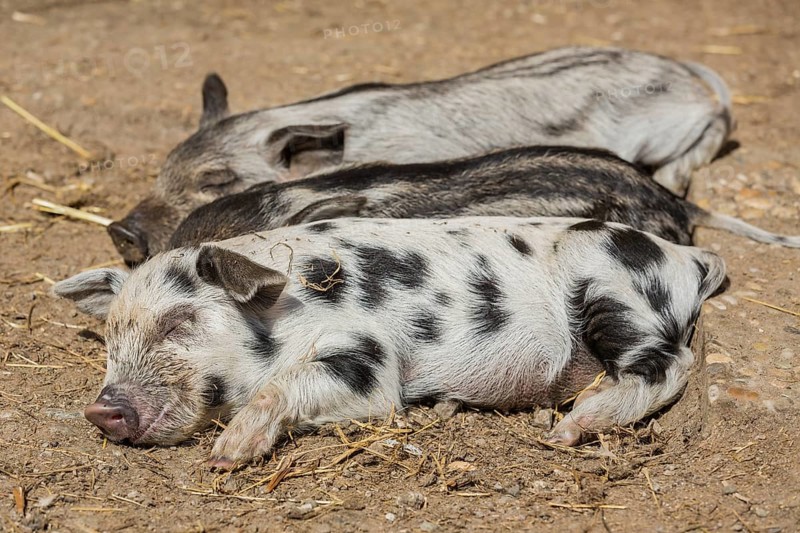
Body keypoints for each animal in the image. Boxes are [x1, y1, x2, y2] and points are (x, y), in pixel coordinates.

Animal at [54, 216, 726, 467]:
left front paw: (227, 453)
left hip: (617, 292)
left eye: (178, 322)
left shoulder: (367, 356)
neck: (285, 314)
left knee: (671, 364)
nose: (99, 409)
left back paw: (567, 429)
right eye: (110, 342)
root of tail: (687, 256)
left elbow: (293, 383)